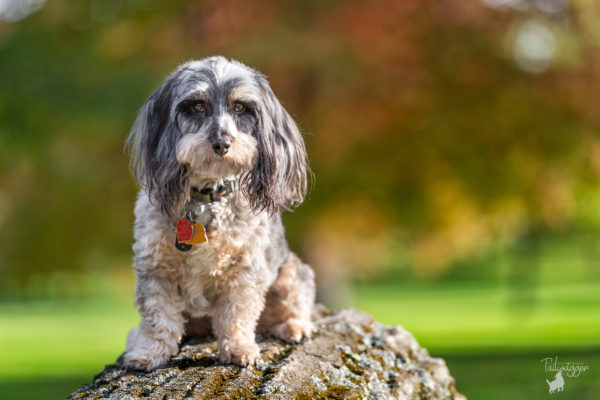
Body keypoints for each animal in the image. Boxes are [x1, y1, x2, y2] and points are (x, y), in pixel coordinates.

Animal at [123, 54, 316, 370]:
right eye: (197, 105)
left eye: (240, 107)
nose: (222, 143)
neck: (207, 198)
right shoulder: (155, 269)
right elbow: (158, 317)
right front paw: (149, 352)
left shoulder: (245, 271)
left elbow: (237, 313)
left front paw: (239, 349)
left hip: (291, 271)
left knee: (290, 305)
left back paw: (294, 326)